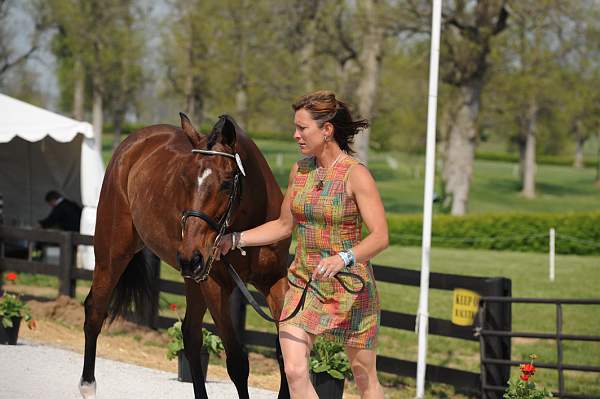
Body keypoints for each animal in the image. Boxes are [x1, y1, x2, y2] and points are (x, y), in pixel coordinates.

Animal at [77, 114, 292, 398]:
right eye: (183, 179)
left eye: (226, 183)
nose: (192, 255)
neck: (247, 230)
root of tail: (135, 142)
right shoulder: (216, 285)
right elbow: (237, 362)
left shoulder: (274, 280)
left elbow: (286, 353)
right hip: (112, 254)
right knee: (95, 311)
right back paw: (88, 386)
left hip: (192, 277)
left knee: (190, 336)